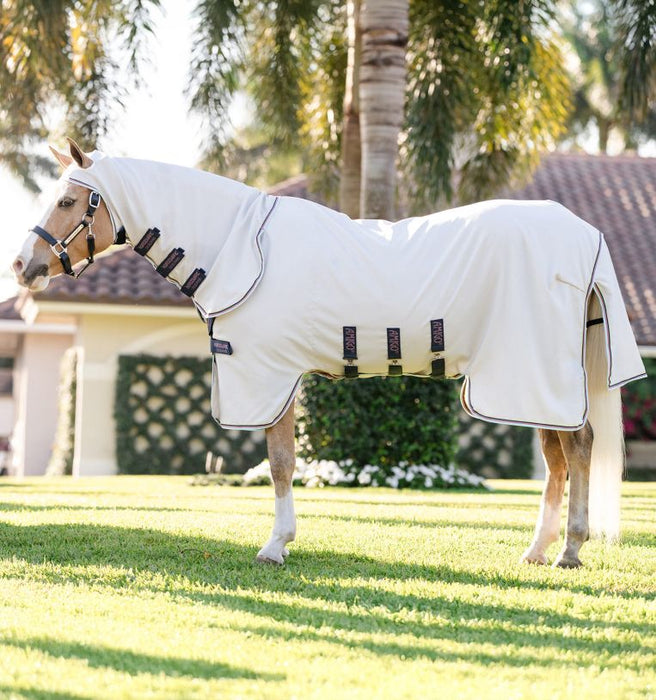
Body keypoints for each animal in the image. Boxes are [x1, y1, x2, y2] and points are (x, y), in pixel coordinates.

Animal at [13, 138, 646, 568]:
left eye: (68, 200)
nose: (23, 266)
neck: (241, 247)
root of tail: (584, 235)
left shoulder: (270, 376)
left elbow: (280, 462)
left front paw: (276, 545)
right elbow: (282, 461)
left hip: (533, 375)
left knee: (578, 449)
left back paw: (569, 550)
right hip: (528, 381)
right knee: (558, 459)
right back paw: (539, 550)